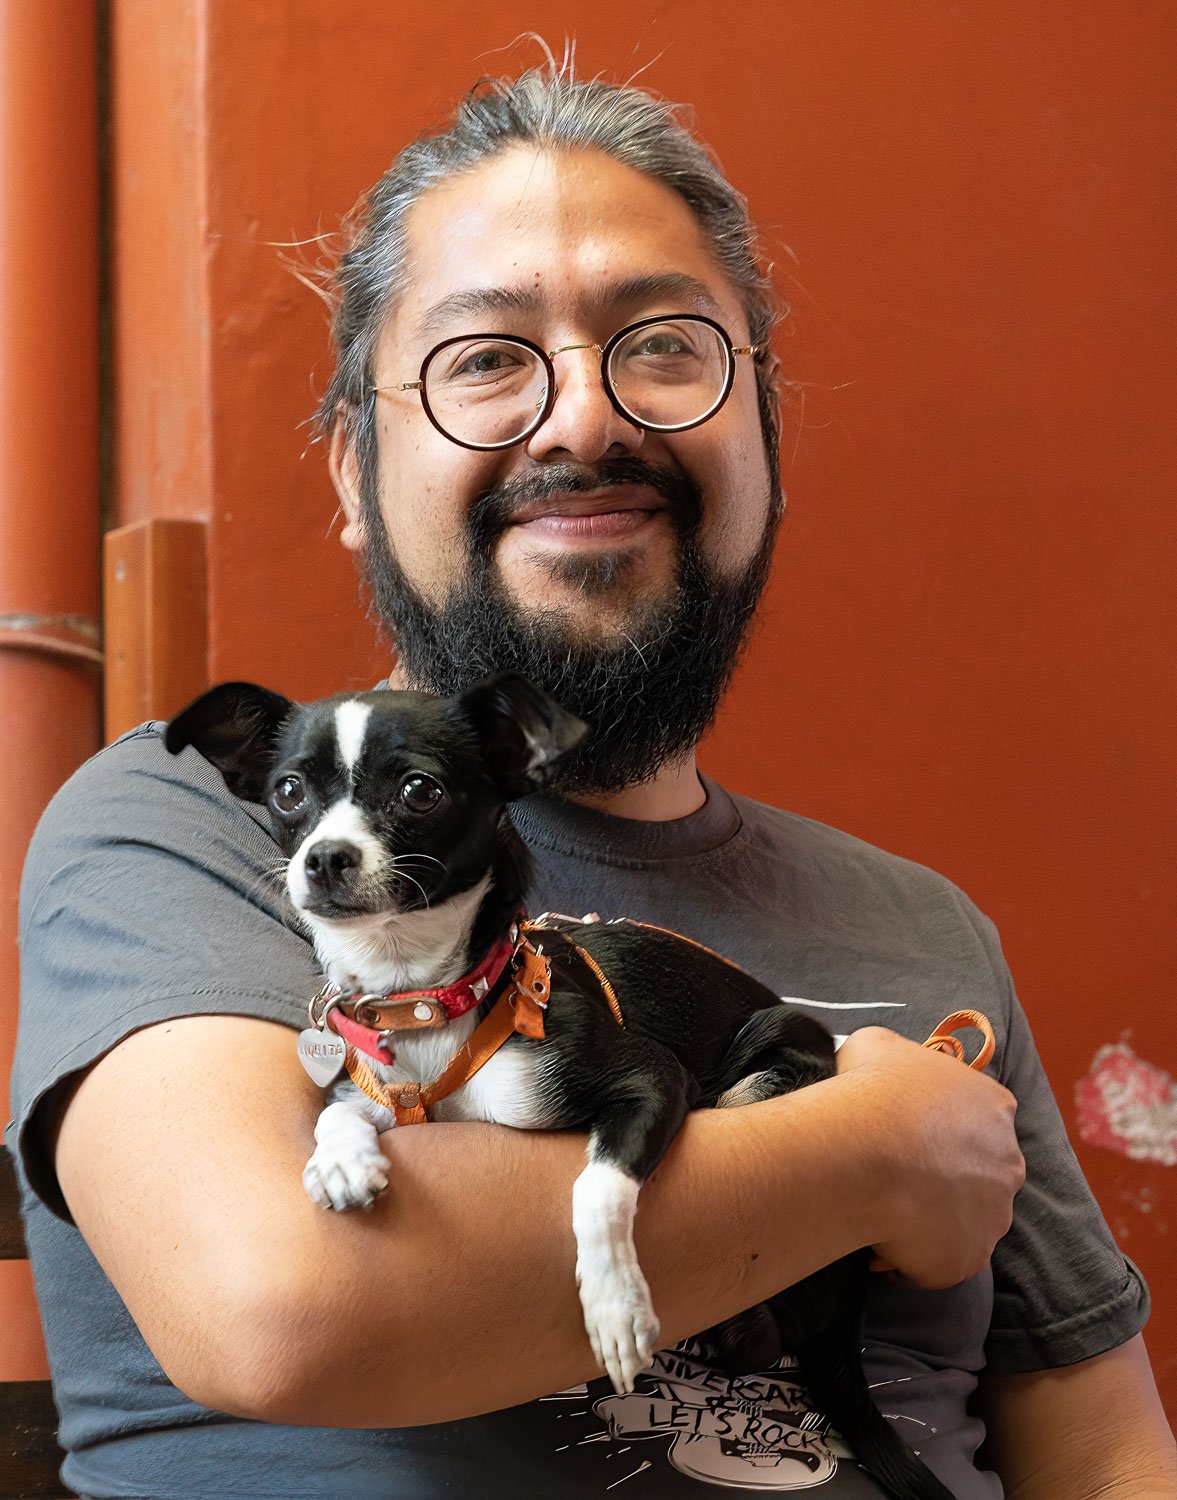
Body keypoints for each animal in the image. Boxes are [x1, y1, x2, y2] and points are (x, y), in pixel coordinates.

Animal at [164, 678, 947, 1500]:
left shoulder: (650, 1080)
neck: (425, 1001)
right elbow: (339, 1111)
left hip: (767, 1062)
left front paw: (614, 1303)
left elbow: (596, 1185)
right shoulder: (382, 1092)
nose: (324, 858)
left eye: (419, 790)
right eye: (288, 792)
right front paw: (342, 1160)